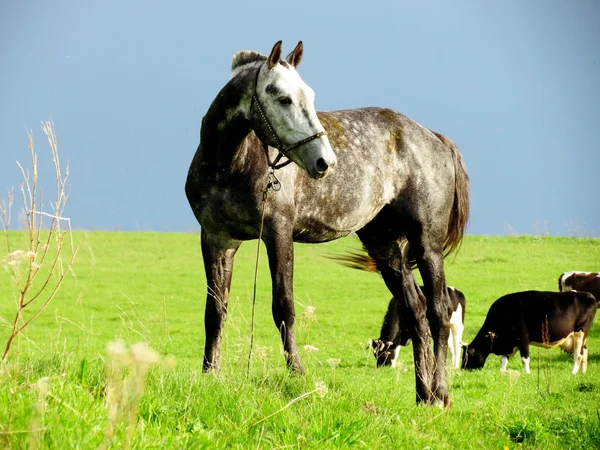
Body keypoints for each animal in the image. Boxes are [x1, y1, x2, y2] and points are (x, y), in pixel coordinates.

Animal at [185, 40, 472, 404]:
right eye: (283, 98)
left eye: (309, 95)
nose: (325, 162)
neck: (229, 162)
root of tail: (434, 138)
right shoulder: (217, 238)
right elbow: (215, 310)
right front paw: (210, 373)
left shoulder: (278, 233)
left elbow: (284, 307)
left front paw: (297, 373)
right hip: (386, 247)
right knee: (416, 312)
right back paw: (423, 394)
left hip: (427, 246)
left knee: (437, 314)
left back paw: (440, 393)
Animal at [460, 292, 596, 372]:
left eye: (466, 356)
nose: (463, 369)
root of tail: (588, 295)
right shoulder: (507, 343)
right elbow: (503, 360)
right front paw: (502, 373)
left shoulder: (523, 338)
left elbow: (525, 359)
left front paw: (527, 373)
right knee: (584, 352)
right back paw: (582, 373)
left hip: (580, 333)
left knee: (578, 355)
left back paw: (573, 373)